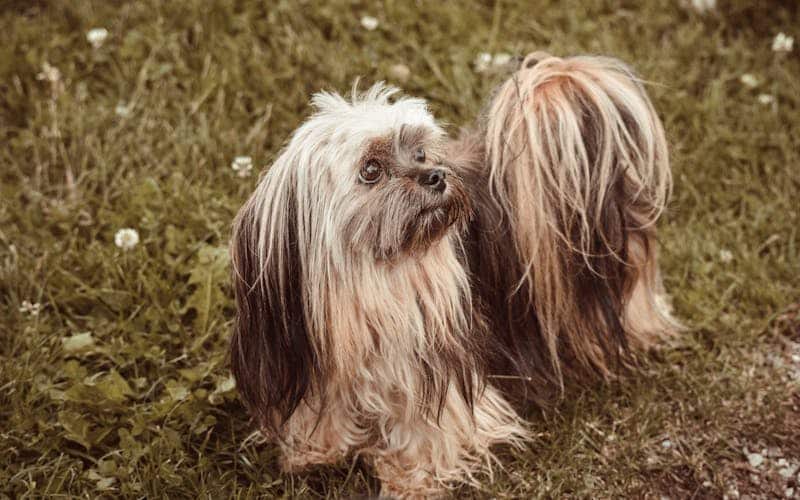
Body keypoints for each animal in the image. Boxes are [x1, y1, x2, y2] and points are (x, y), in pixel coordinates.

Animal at [228, 84, 532, 498]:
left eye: (420, 153)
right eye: (370, 170)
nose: (436, 175)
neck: (371, 285)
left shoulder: (431, 364)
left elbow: (427, 424)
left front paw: (412, 479)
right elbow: (320, 409)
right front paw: (315, 451)